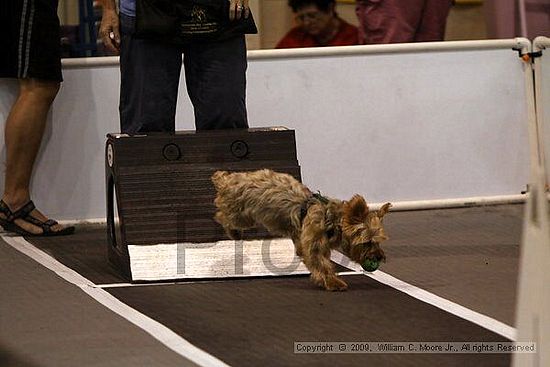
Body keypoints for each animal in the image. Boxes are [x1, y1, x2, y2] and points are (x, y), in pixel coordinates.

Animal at [211, 170, 392, 294]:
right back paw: (233, 231)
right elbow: (322, 264)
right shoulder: (314, 245)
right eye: (367, 242)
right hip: (240, 214)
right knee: (222, 215)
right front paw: (333, 282)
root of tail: (229, 179)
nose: (378, 257)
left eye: (378, 241)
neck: (330, 218)